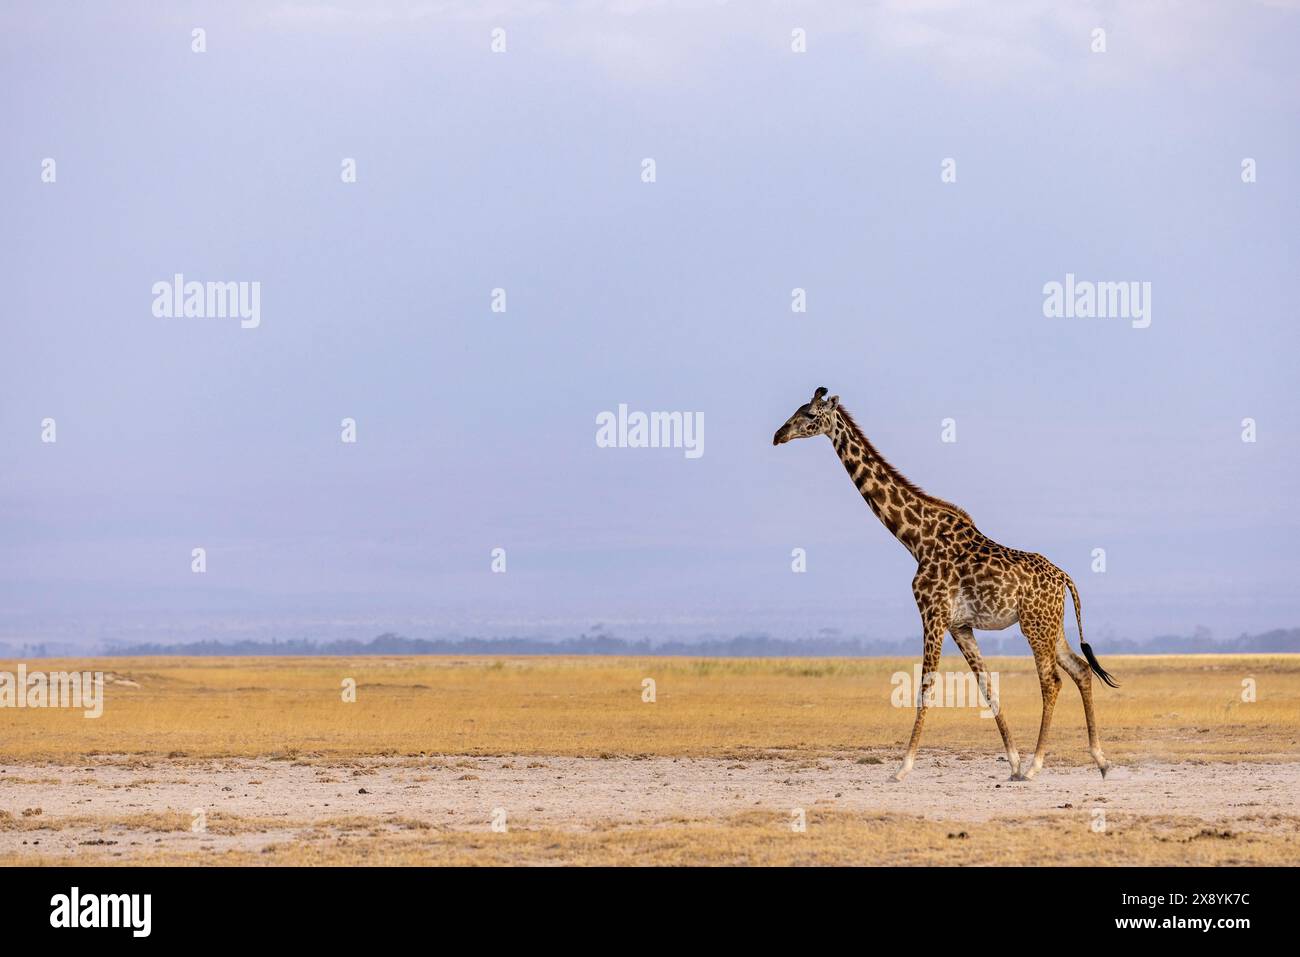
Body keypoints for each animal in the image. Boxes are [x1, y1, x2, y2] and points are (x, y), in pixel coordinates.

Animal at [773, 387, 1117, 782]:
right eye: (798, 409)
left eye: (811, 415)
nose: (778, 435)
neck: (916, 539)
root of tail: (1064, 577)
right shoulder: (960, 625)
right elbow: (986, 686)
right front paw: (1012, 762)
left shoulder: (932, 614)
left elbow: (926, 687)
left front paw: (902, 767)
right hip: (1051, 626)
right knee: (1080, 670)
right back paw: (1099, 760)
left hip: (1034, 625)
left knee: (1053, 681)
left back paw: (1037, 765)